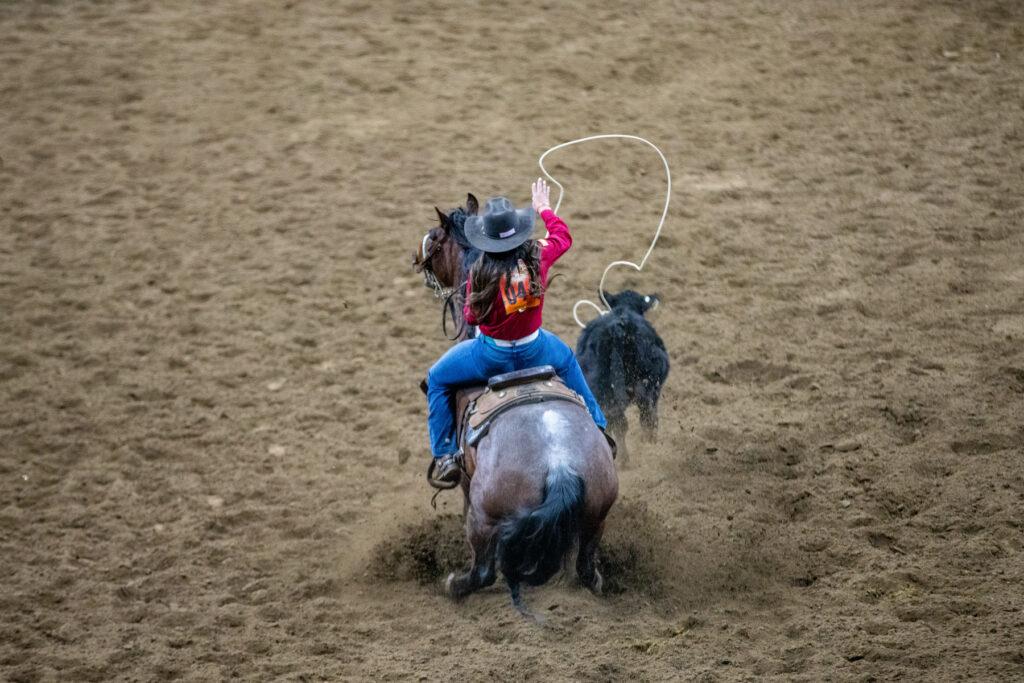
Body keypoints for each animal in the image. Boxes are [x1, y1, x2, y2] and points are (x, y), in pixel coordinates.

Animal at [411, 194, 618, 618]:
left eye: (436, 237)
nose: (416, 256)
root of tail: (559, 465)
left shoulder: (468, 487)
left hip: (486, 518)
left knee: (483, 570)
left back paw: (454, 584)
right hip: (597, 516)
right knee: (587, 570)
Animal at [577, 290, 671, 458]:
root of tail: (621, 330)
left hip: (606, 393)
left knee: (619, 422)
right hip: (646, 387)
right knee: (646, 418)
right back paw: (648, 446)